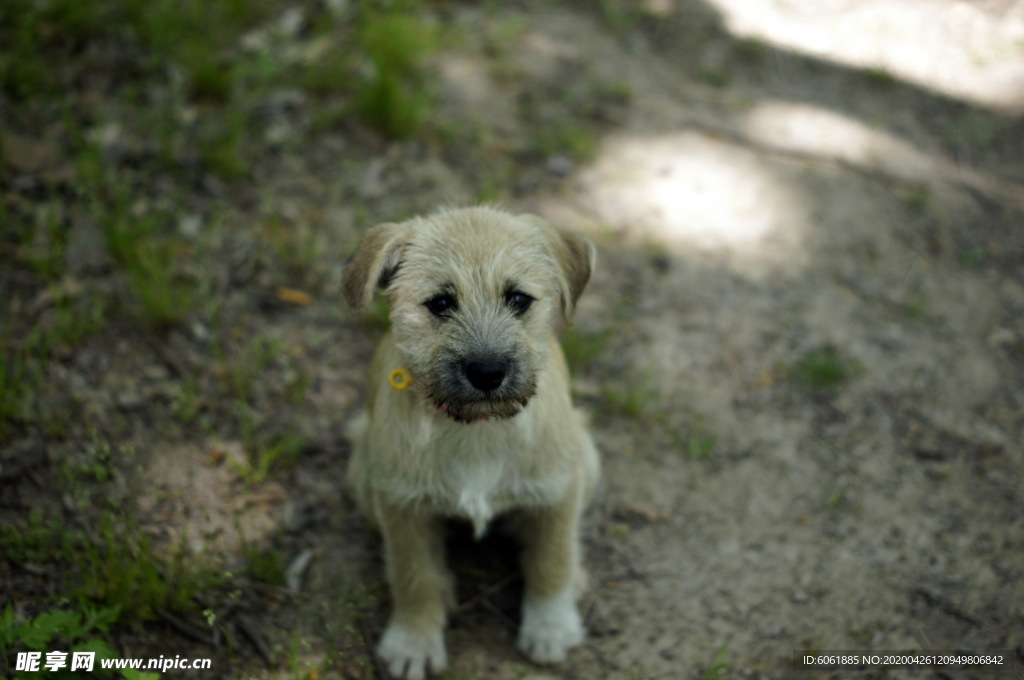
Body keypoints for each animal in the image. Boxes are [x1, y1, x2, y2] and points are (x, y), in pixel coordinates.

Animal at [344, 206, 598, 680]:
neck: (478, 428)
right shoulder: (401, 507)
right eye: (440, 303)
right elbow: (413, 575)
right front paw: (414, 640)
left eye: (518, 299)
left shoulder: (558, 493)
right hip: (362, 474)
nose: (487, 371)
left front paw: (551, 625)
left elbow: (551, 558)